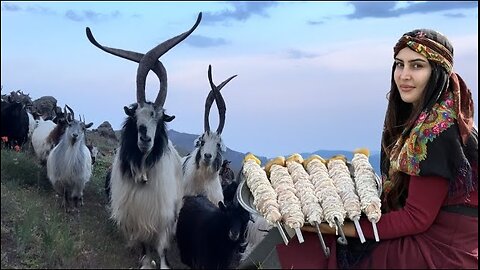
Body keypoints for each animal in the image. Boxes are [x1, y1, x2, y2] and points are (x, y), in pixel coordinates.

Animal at [86, 12, 202, 268]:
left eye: (158, 117)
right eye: (135, 114)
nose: (145, 138)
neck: (143, 170)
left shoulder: (163, 216)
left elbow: (161, 248)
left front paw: (164, 265)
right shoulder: (135, 218)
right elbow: (145, 248)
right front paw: (145, 262)